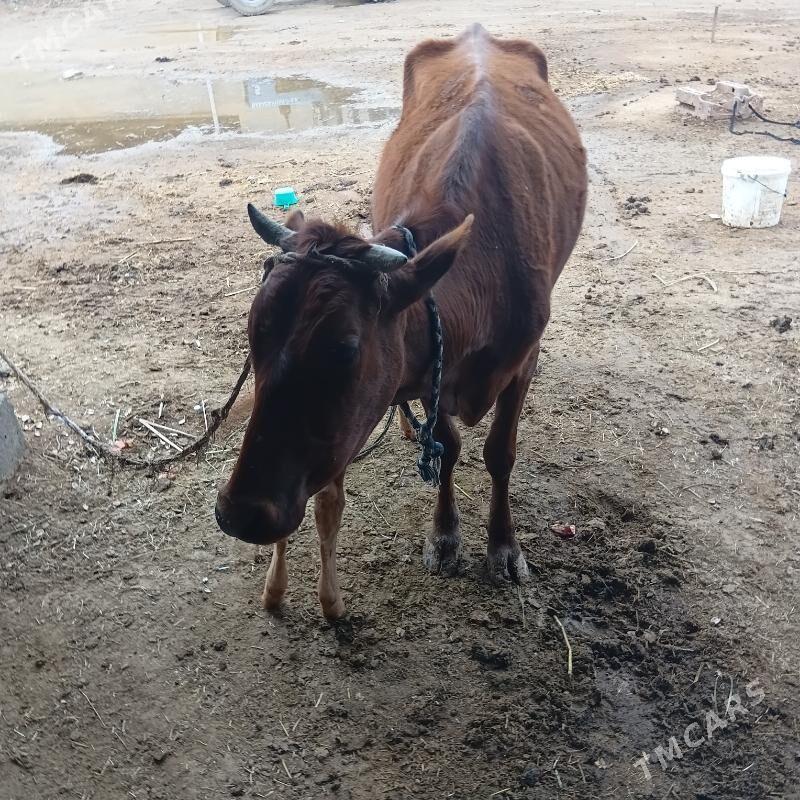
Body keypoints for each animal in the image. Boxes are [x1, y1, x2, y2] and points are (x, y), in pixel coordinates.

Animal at [215, 23, 587, 619]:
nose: (241, 513)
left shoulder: (523, 358)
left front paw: (503, 547)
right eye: (253, 333)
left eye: (345, 348)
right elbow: (448, 447)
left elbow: (499, 453)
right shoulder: (426, 370)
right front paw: (445, 534)